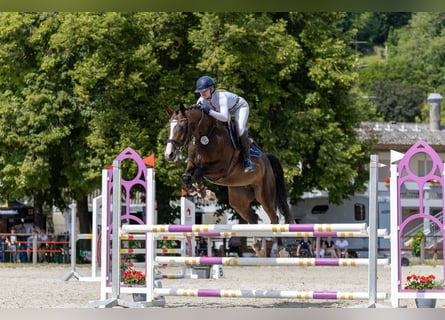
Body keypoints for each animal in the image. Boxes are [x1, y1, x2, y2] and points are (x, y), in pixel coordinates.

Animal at [163, 104, 292, 224]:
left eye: (182, 127)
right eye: (168, 127)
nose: (169, 155)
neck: (204, 136)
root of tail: (267, 159)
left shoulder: (222, 168)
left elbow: (198, 173)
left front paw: (207, 194)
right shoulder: (192, 163)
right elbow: (186, 176)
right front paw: (196, 191)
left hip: (264, 195)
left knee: (274, 217)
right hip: (239, 199)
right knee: (253, 218)